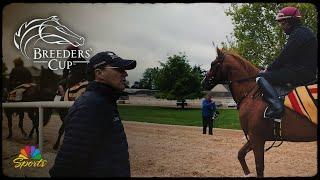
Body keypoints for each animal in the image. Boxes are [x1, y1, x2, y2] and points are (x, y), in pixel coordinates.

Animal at [201, 47, 316, 177]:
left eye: (213, 64)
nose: (203, 82)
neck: (250, 93)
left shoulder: (256, 138)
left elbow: (259, 167)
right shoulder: (254, 137)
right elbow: (240, 154)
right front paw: (247, 174)